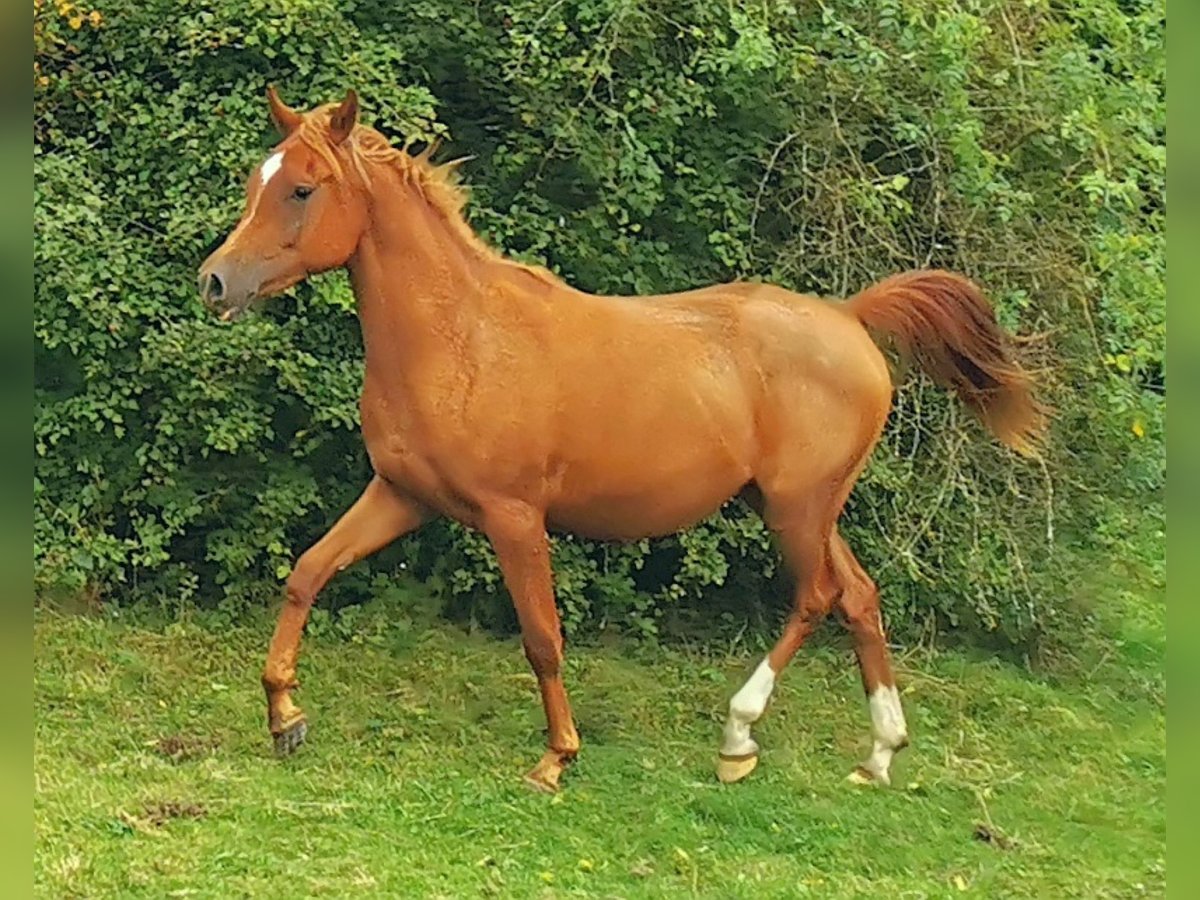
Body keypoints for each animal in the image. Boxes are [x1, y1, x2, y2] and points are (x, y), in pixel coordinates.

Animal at [196, 90, 1041, 796]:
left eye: (302, 188)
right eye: (254, 180)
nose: (215, 282)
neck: (460, 338)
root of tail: (849, 317)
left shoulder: (513, 517)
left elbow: (542, 637)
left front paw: (556, 758)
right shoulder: (401, 495)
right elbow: (308, 573)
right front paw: (284, 718)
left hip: (797, 508)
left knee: (819, 597)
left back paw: (739, 737)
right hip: (806, 506)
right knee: (860, 596)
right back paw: (878, 755)